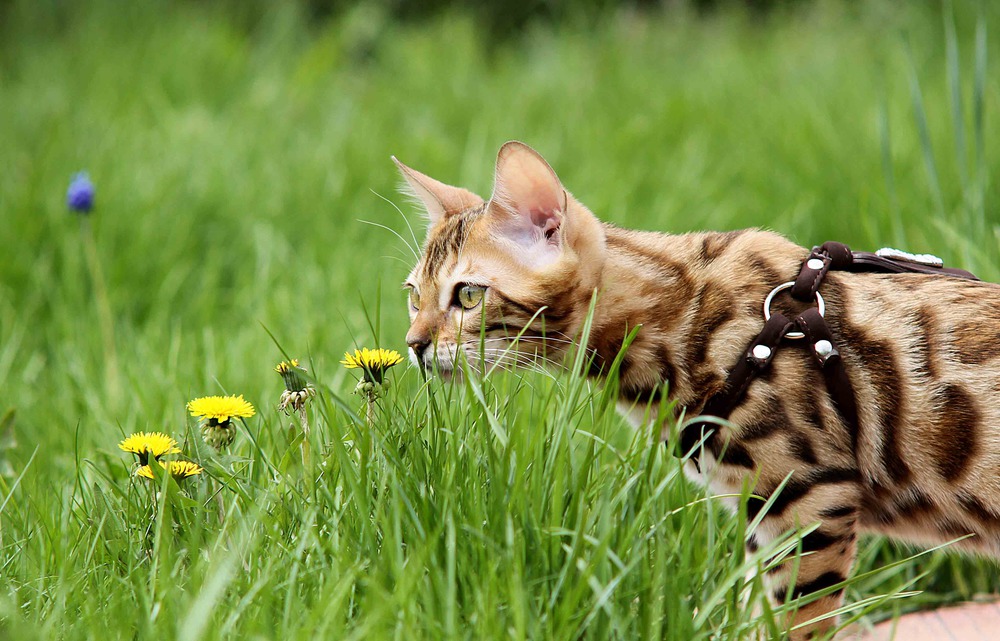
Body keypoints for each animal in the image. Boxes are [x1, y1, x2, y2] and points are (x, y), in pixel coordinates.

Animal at [394, 141, 1000, 640]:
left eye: (467, 295)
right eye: (413, 294)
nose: (413, 344)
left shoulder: (808, 501)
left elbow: (791, 623)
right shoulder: (764, 518)